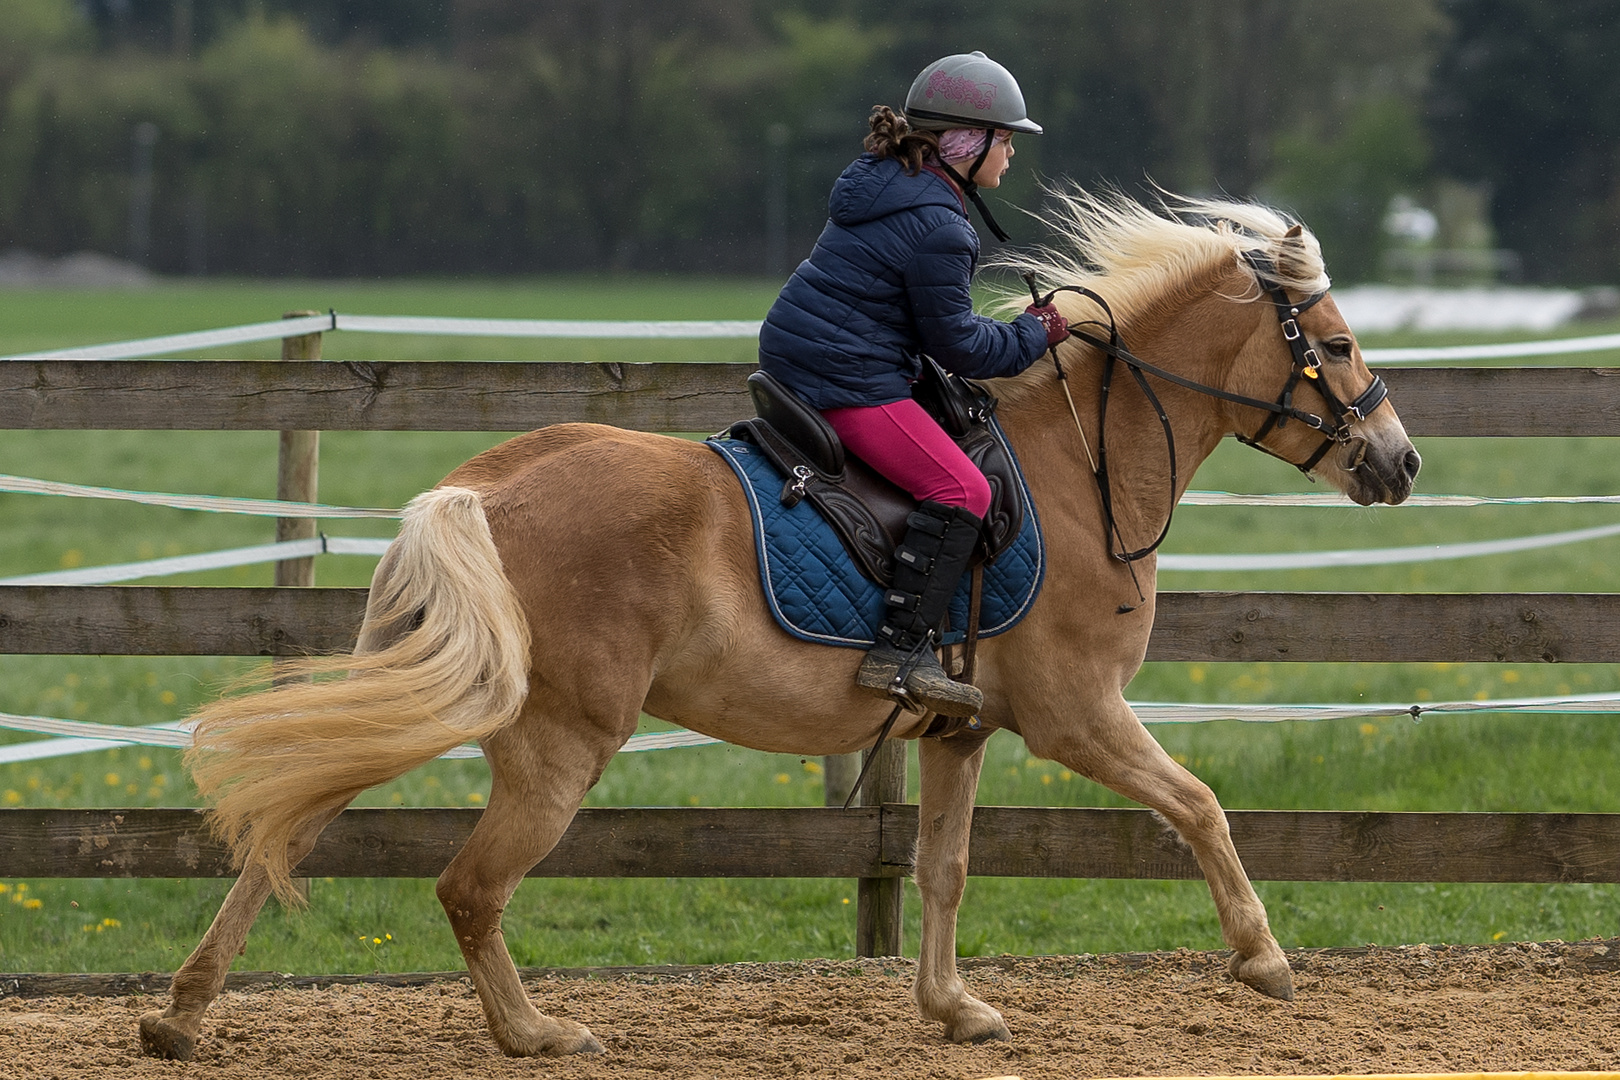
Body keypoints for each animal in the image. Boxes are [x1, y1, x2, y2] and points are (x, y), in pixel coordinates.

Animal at [145, 190, 1425, 1062]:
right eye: (1340, 344)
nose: (1401, 462)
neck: (1079, 465)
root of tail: (479, 490)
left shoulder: (964, 731)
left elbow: (943, 867)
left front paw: (954, 1008)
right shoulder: (1079, 715)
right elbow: (1199, 805)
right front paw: (1263, 959)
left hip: (425, 688)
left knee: (295, 819)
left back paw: (184, 1011)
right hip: (559, 742)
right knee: (468, 888)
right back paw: (535, 1034)